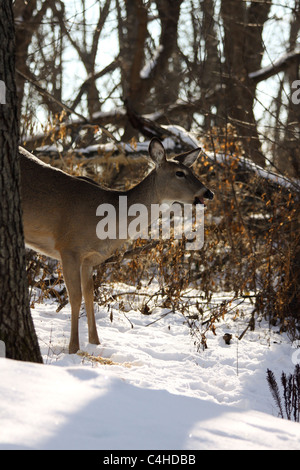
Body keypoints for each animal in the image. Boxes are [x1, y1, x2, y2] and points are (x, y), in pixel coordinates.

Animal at [18, 139, 214, 352]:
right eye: (180, 173)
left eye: (191, 171)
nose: (209, 192)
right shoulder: (69, 248)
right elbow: (75, 297)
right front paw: (74, 349)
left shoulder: (89, 259)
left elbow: (89, 295)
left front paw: (95, 342)